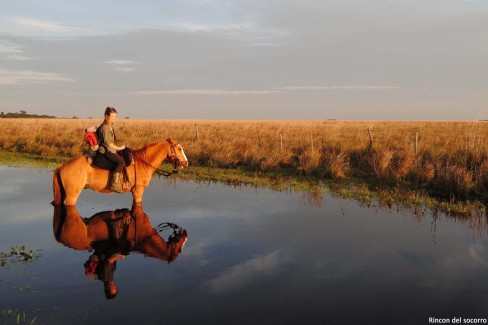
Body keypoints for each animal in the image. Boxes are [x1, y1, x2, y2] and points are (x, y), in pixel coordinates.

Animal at [52, 137, 188, 205]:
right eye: (179, 148)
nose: (186, 163)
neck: (143, 163)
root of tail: (62, 166)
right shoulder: (138, 191)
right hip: (72, 196)